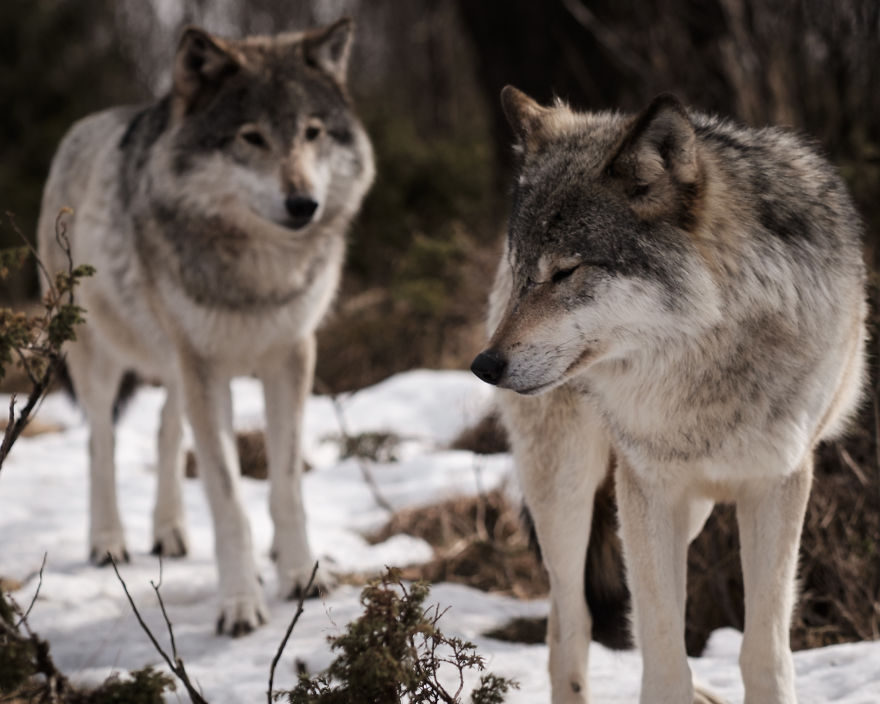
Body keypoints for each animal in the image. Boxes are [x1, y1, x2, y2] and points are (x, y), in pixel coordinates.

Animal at [36, 18, 375, 635]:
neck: (260, 272)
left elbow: (286, 487)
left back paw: (168, 531)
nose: (303, 204)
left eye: (312, 132)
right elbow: (230, 501)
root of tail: (88, 123)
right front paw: (240, 605)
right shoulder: (206, 368)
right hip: (102, 357)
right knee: (101, 442)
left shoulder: (290, 356)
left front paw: (299, 577)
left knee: (164, 429)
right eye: (251, 137)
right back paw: (109, 542)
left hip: (176, 365)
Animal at [471, 86, 866, 703]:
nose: (483, 366)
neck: (707, 360)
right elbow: (663, 658)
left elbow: (763, 652)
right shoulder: (648, 485)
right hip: (569, 487)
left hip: (689, 507)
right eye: (522, 273)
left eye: (565, 272)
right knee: (570, 623)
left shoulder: (778, 481)